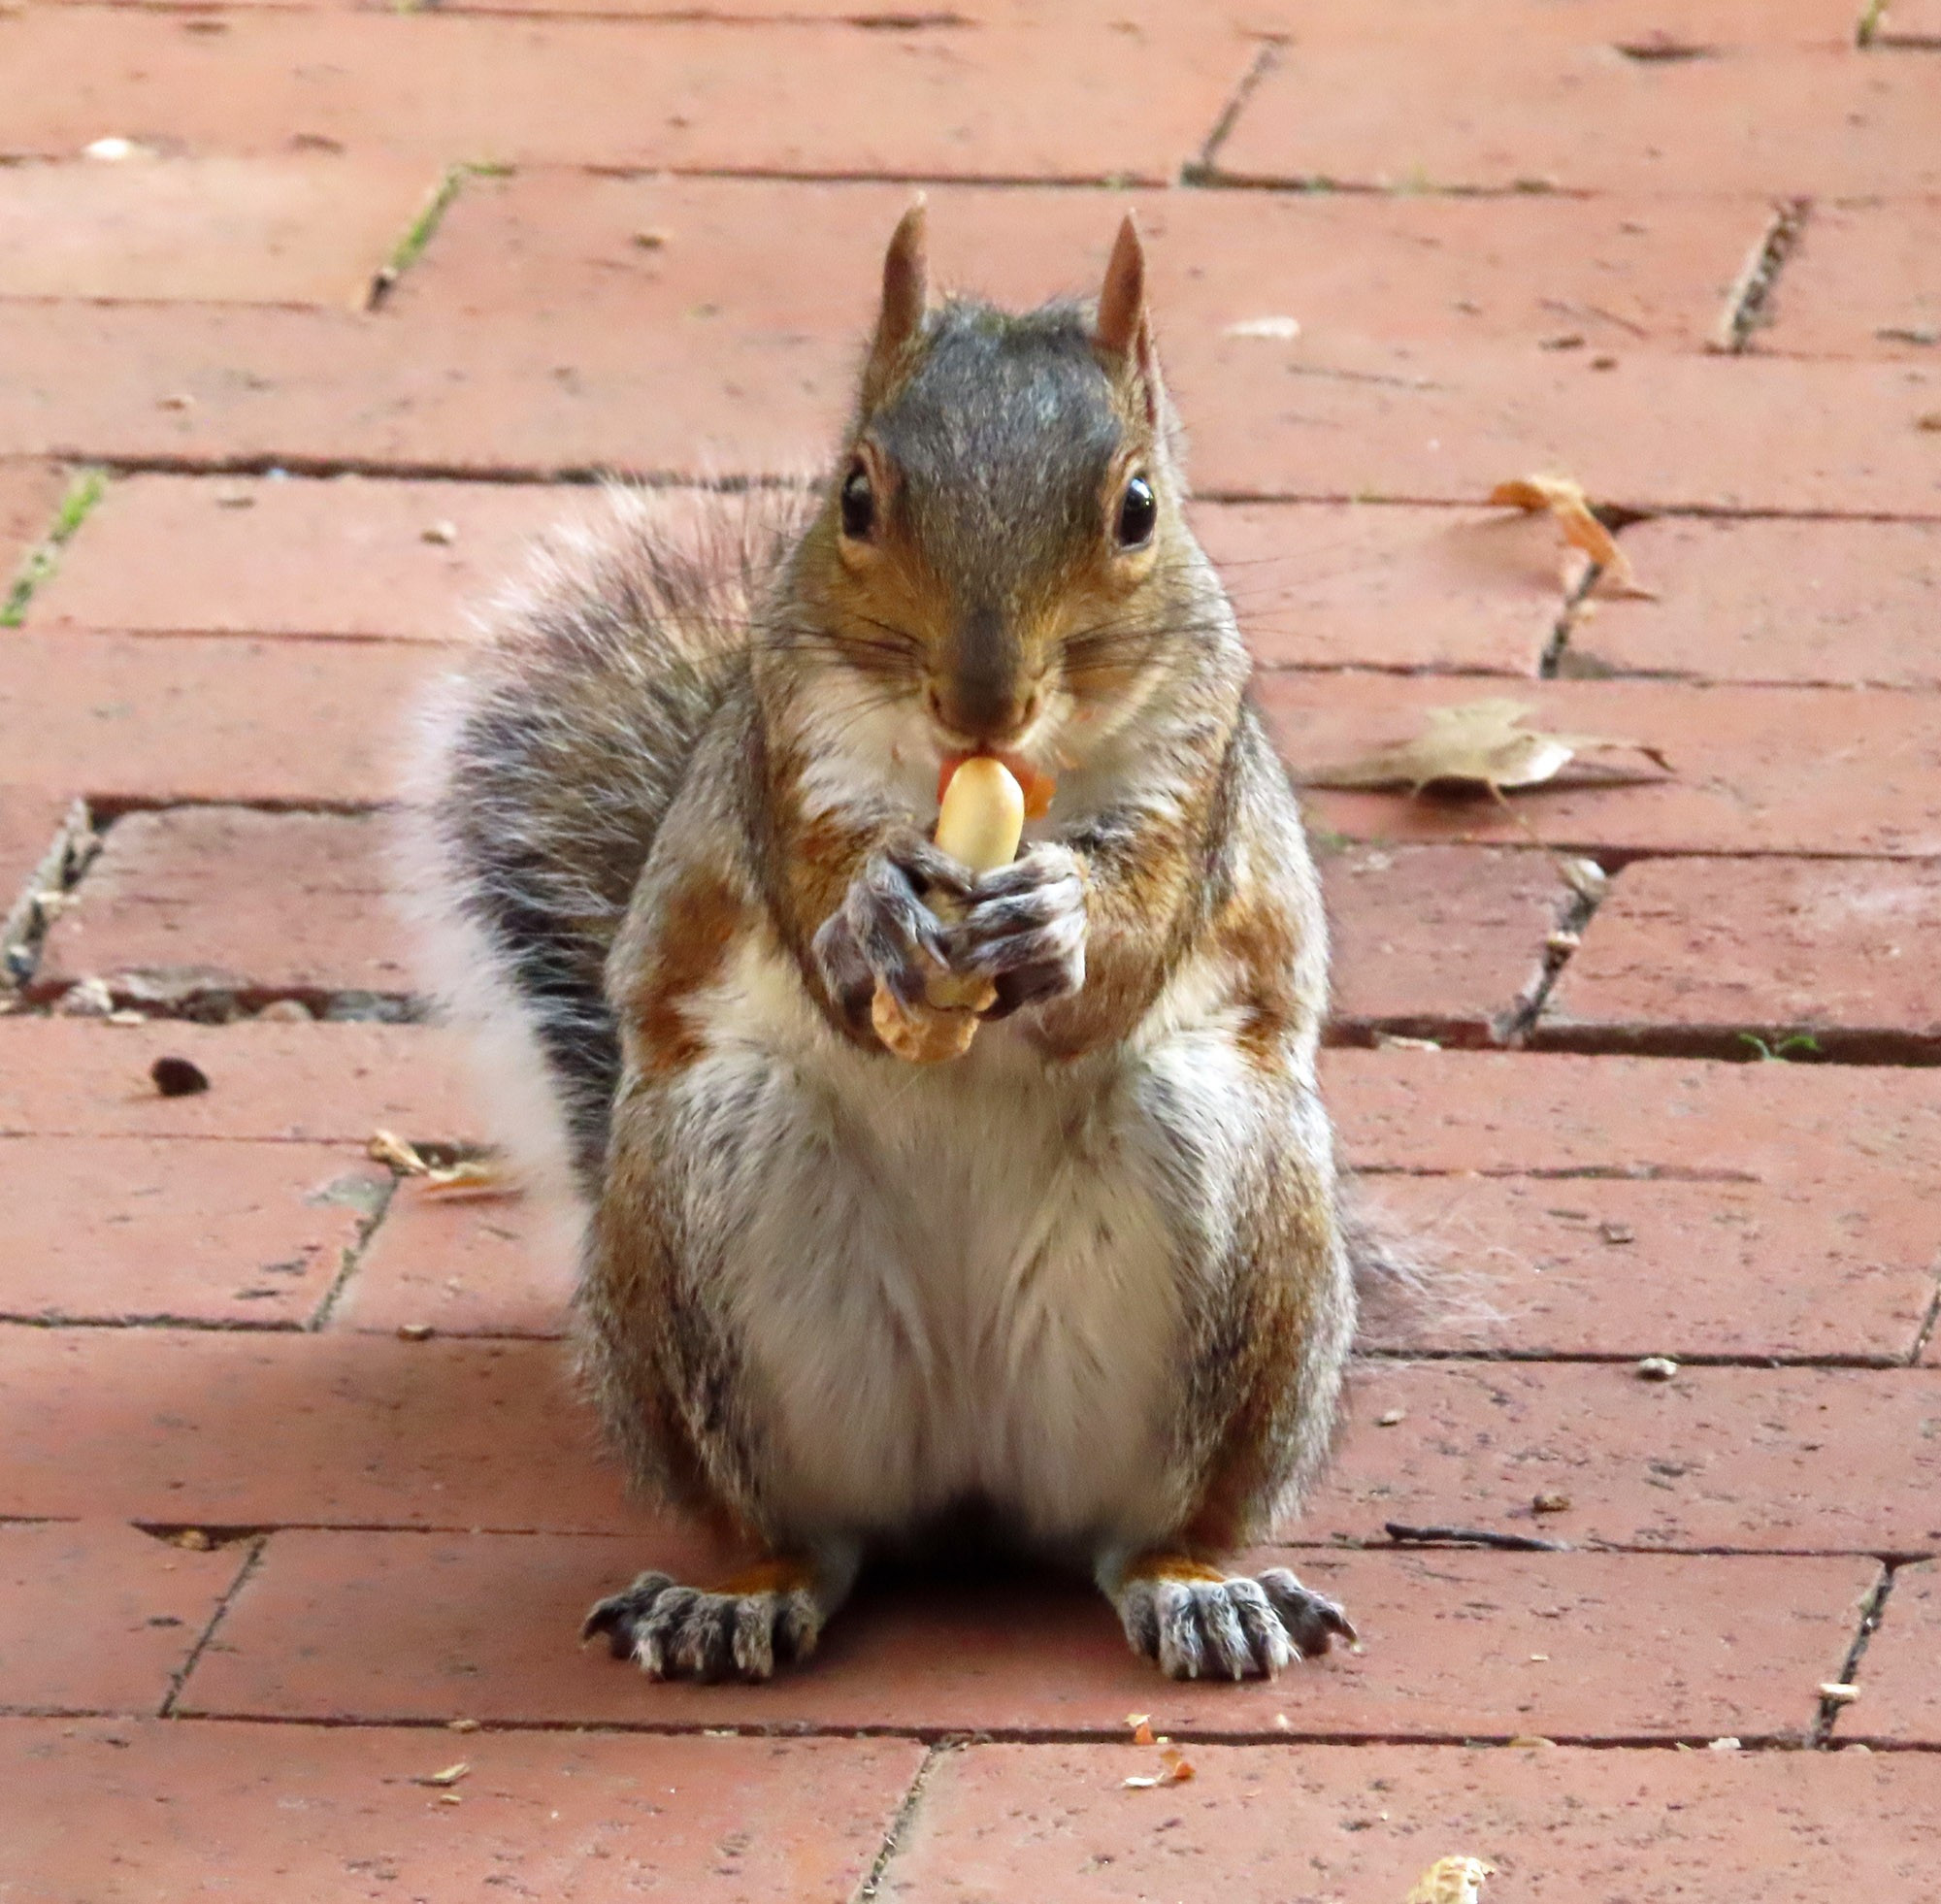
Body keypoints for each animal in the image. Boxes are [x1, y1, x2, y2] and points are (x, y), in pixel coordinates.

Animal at [402, 205, 1359, 1677]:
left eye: (1138, 507)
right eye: (854, 496)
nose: (981, 696)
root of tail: (970, 1489)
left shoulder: (1193, 776)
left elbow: (1132, 942)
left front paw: (1063, 919)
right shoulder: (785, 753)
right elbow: (816, 906)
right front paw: (871, 919)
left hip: (1241, 1240)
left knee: (1147, 1524)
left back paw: (1197, 1582)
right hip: (704, 1205)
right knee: (805, 1529)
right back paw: (739, 1593)